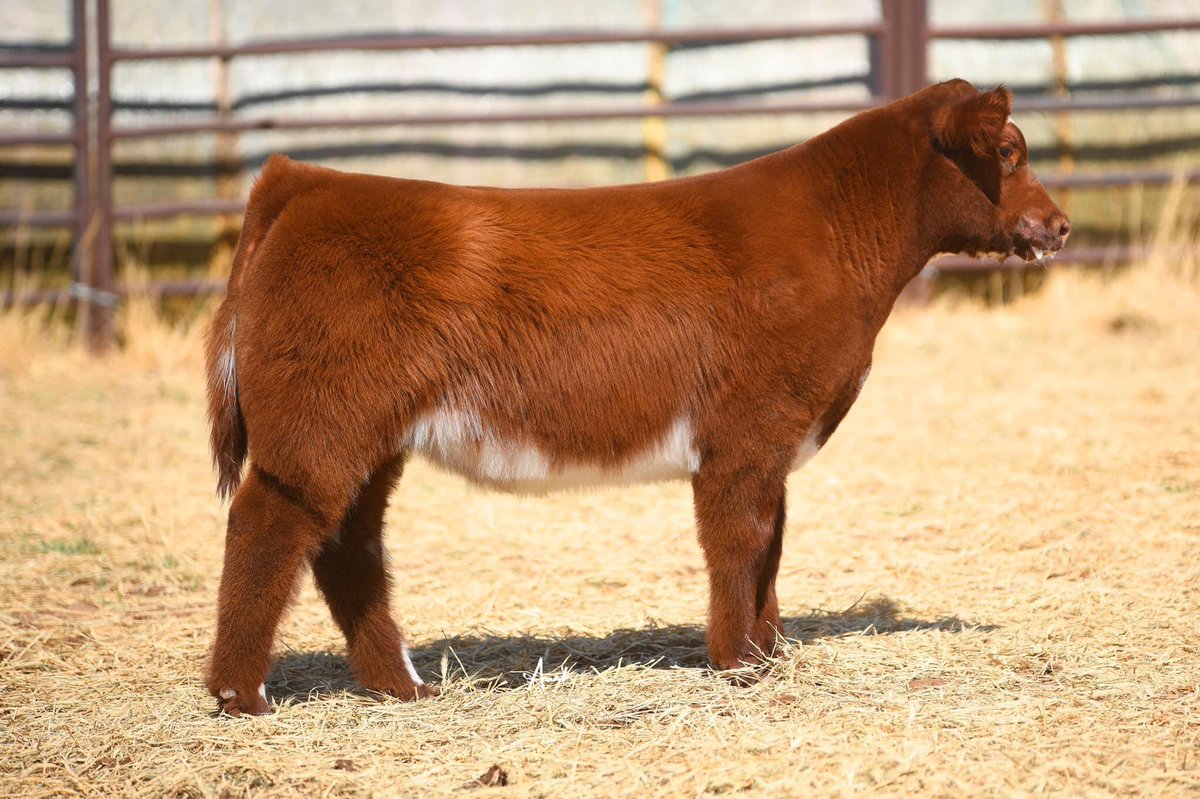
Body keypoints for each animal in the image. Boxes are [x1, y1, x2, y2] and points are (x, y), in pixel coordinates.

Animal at [203, 79, 1068, 715]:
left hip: (370, 437)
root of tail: (304, 181)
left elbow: (772, 543)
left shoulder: (775, 438)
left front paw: (769, 650)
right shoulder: (748, 431)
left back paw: (402, 686)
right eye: (1007, 150)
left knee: (347, 544)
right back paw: (242, 694)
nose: (1059, 224)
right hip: (320, 427)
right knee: (268, 526)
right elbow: (740, 541)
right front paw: (738, 662)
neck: (834, 233)